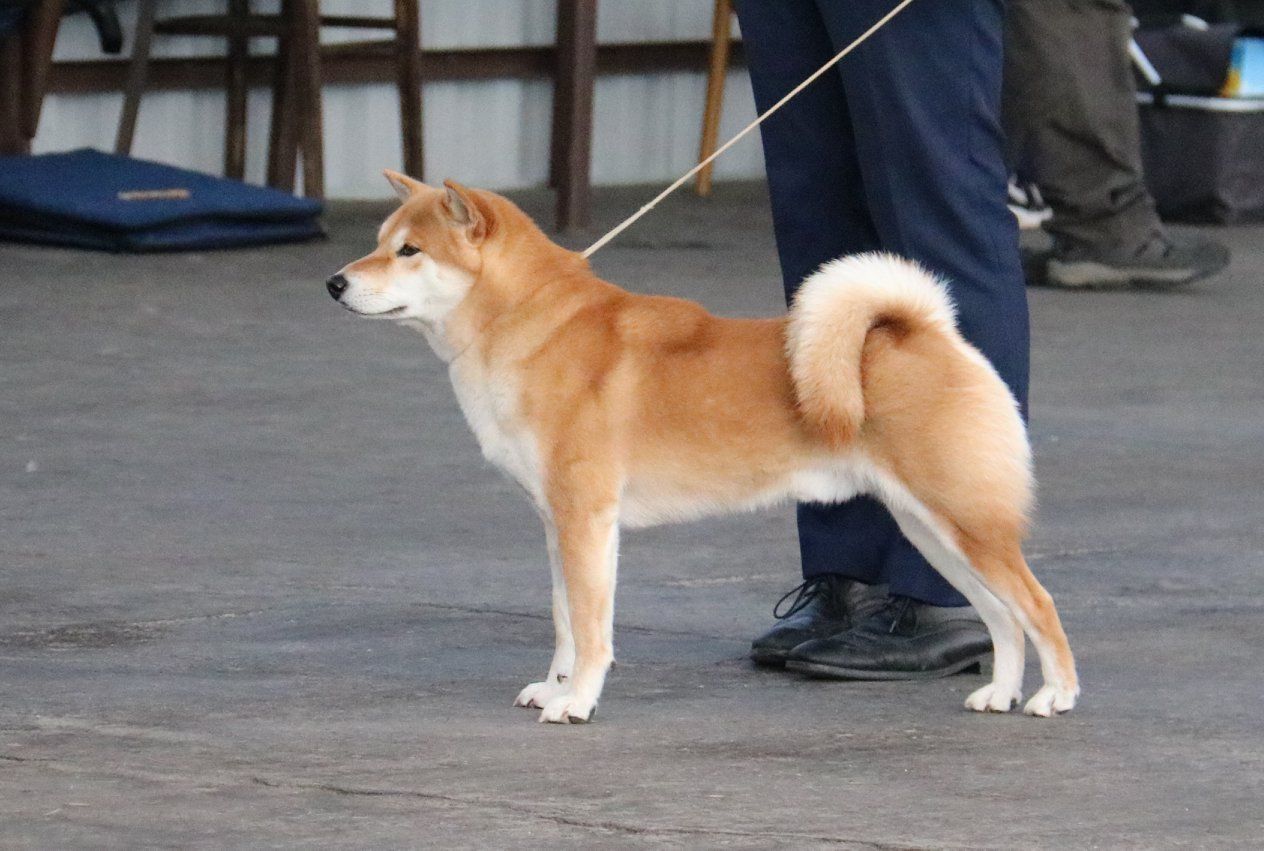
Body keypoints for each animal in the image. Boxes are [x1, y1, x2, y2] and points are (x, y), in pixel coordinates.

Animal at [326, 171, 1076, 723]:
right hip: (933, 532)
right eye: (379, 240)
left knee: (1037, 604)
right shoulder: (557, 525)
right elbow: (565, 621)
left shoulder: (587, 521)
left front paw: (578, 702)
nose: (334, 282)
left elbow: (592, 629)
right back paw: (1000, 692)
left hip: (965, 522)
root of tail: (926, 331)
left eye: (410, 252)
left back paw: (1054, 695)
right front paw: (555, 686)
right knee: (1003, 617)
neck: (531, 325)